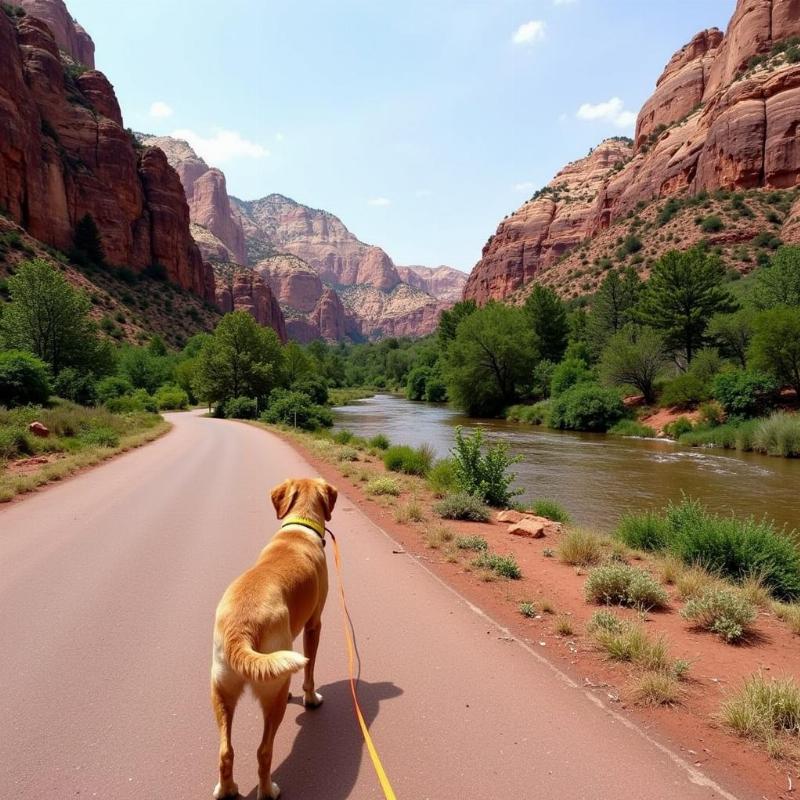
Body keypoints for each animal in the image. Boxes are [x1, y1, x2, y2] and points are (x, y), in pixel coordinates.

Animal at [209, 478, 338, 796]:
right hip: (271, 702)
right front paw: (311, 698)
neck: (299, 527)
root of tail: (239, 631)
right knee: (263, 752)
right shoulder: (314, 625)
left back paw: (226, 789)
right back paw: (269, 791)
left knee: (225, 752)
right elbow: (310, 671)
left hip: (220, 691)